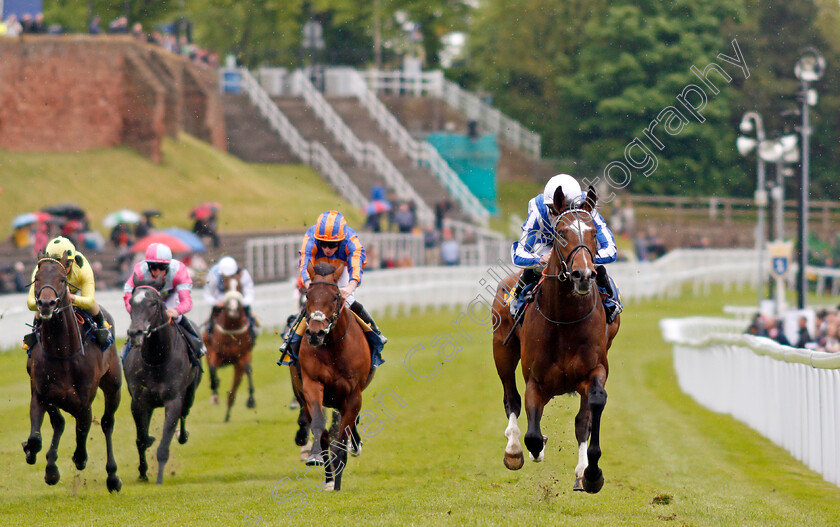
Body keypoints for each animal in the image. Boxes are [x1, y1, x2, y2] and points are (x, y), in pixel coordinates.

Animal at [22, 254, 123, 492]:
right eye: (37, 279)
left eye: (62, 280)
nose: (46, 304)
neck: (63, 352)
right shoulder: (41, 394)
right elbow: (37, 437)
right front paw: (40, 459)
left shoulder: (84, 403)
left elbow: (81, 439)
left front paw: (81, 459)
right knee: (59, 424)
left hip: (113, 385)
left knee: (107, 423)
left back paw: (113, 476)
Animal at [492, 187, 616, 496]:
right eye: (560, 232)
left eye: (594, 232)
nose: (583, 274)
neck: (565, 320)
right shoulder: (535, 380)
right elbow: (533, 434)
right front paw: (531, 448)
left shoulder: (595, 369)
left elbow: (592, 408)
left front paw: (591, 473)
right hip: (502, 350)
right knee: (511, 398)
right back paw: (513, 450)